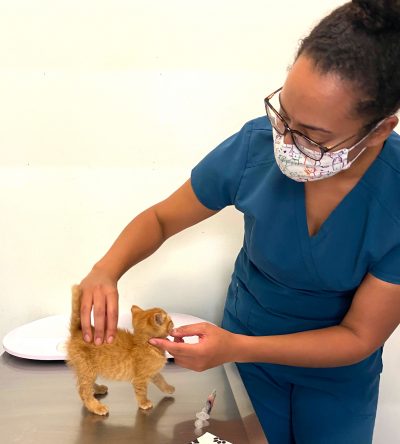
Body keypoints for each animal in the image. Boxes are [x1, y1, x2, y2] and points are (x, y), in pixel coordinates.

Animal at [66, 286, 174, 414]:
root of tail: (77, 332)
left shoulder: (153, 373)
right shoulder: (140, 378)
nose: (173, 325)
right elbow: (141, 391)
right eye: (171, 322)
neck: (143, 343)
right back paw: (96, 407)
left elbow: (161, 380)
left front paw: (168, 388)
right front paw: (144, 403)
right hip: (87, 368)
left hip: (89, 370)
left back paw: (98, 389)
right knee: (83, 391)